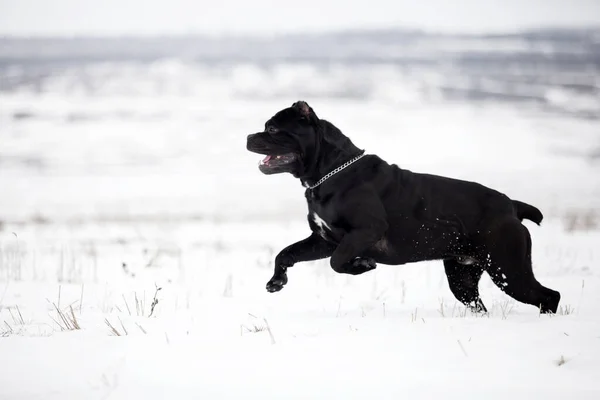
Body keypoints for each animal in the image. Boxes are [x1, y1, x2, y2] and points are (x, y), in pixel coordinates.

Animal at [246, 100, 560, 312]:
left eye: (272, 128)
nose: (248, 137)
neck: (329, 172)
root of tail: (512, 206)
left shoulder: (365, 231)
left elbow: (337, 262)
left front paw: (362, 265)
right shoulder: (323, 239)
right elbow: (286, 253)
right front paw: (276, 282)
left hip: (507, 269)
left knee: (548, 296)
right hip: (464, 277)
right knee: (479, 303)